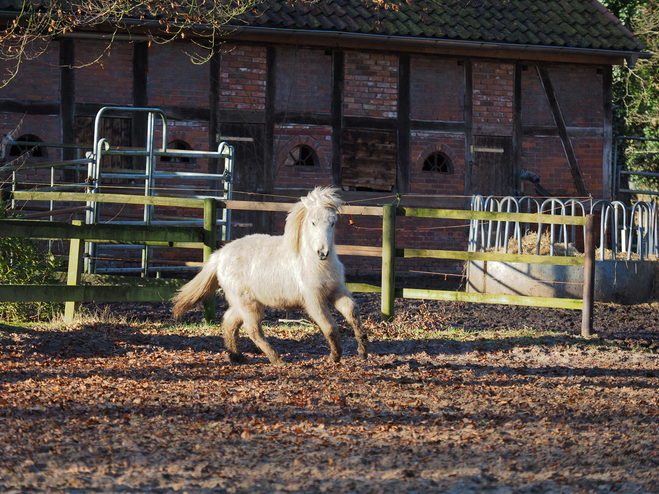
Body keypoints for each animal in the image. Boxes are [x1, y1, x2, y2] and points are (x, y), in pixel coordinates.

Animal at [173, 187, 368, 364]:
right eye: (313, 222)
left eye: (332, 223)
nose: (323, 252)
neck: (312, 263)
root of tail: (219, 256)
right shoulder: (314, 301)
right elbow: (330, 327)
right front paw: (335, 357)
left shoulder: (336, 291)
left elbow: (352, 312)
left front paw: (363, 351)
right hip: (248, 304)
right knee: (253, 329)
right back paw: (277, 360)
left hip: (243, 303)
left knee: (229, 321)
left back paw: (237, 357)